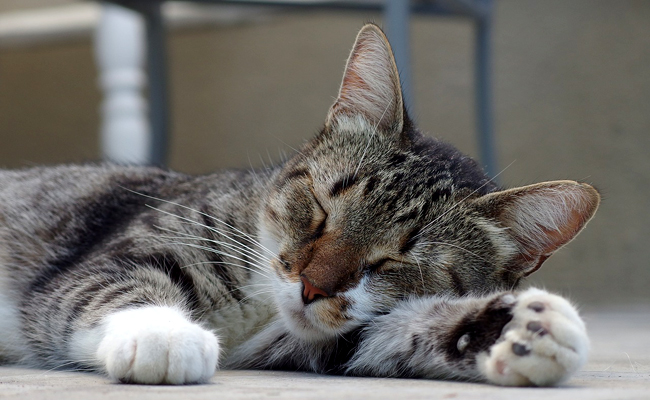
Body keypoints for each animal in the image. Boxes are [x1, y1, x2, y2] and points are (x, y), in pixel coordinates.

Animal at [0, 23, 596, 386]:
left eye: (397, 261)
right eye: (320, 207)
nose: (311, 287)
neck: (259, 308)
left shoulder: (313, 343)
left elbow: (393, 332)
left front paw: (521, 329)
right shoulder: (119, 250)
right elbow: (113, 283)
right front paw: (163, 334)